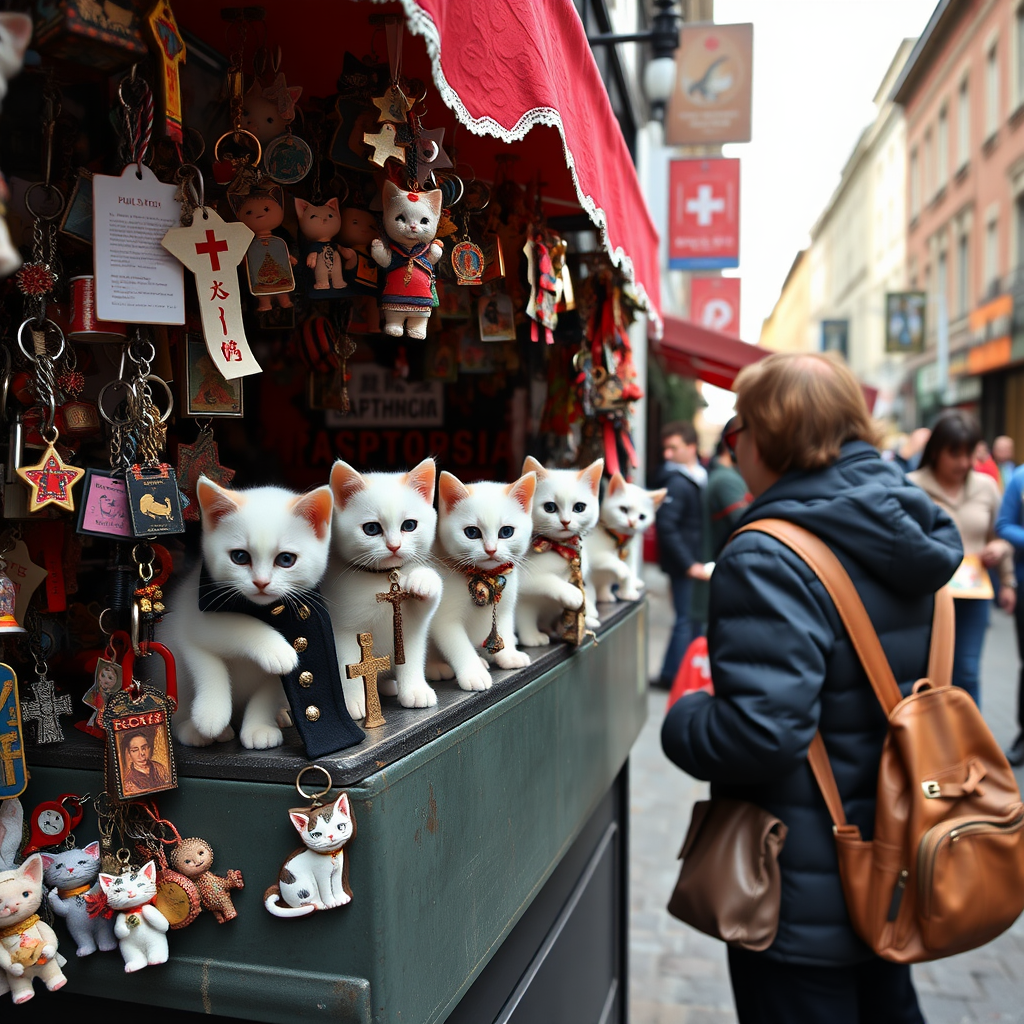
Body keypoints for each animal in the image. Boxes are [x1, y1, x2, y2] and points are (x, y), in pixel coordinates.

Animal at [161, 475, 333, 749]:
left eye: (286, 559)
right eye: (240, 556)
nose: (261, 582)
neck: (263, 612)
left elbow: (270, 690)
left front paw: (259, 727)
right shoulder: (184, 625)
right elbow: (208, 663)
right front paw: (210, 716)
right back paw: (193, 729)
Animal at [325, 460, 442, 716]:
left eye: (409, 525)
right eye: (371, 529)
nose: (394, 546)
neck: (381, 578)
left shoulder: (413, 626)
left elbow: (413, 657)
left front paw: (415, 690)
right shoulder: (341, 629)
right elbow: (347, 667)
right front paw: (355, 702)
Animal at [425, 468, 536, 688]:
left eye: (506, 531)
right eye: (472, 532)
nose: (491, 550)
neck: (485, 575)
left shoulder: (505, 604)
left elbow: (504, 626)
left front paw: (509, 655)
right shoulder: (445, 618)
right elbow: (458, 645)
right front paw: (473, 672)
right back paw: (436, 666)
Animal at [516, 458, 602, 647]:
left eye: (579, 507)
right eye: (549, 507)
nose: (565, 521)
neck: (561, 548)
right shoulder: (522, 581)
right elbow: (543, 581)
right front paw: (531, 637)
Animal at [585, 471, 663, 606]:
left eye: (642, 517)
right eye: (624, 509)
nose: (632, 522)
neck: (619, 539)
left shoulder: (632, 552)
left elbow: (630, 570)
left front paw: (628, 592)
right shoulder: (590, 550)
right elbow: (607, 558)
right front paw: (623, 570)